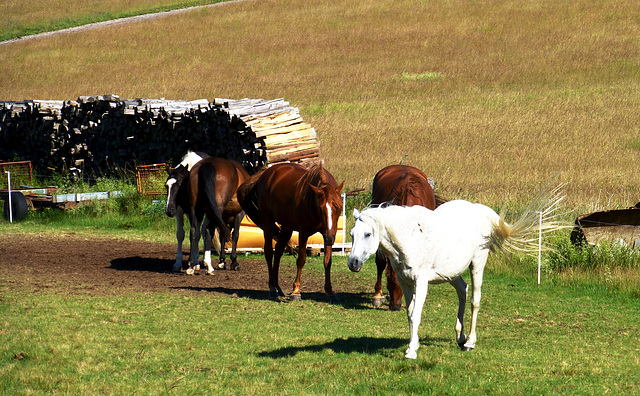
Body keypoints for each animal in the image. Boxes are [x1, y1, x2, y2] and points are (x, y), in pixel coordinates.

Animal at [236, 162, 344, 302]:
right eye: (320, 208)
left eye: (337, 207)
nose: (330, 238)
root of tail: (265, 174)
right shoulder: (304, 233)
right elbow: (301, 259)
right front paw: (296, 291)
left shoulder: (328, 233)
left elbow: (327, 261)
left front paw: (330, 291)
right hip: (268, 222)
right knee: (269, 252)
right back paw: (272, 288)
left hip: (287, 227)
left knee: (278, 251)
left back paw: (278, 288)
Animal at [348, 186, 564, 358]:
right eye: (351, 234)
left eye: (368, 234)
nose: (353, 263)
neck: (411, 237)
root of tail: (480, 211)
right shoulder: (405, 282)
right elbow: (410, 313)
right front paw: (413, 345)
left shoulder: (420, 282)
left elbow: (416, 314)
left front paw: (411, 352)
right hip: (451, 273)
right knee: (463, 290)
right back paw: (460, 336)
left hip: (477, 265)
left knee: (475, 300)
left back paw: (470, 342)